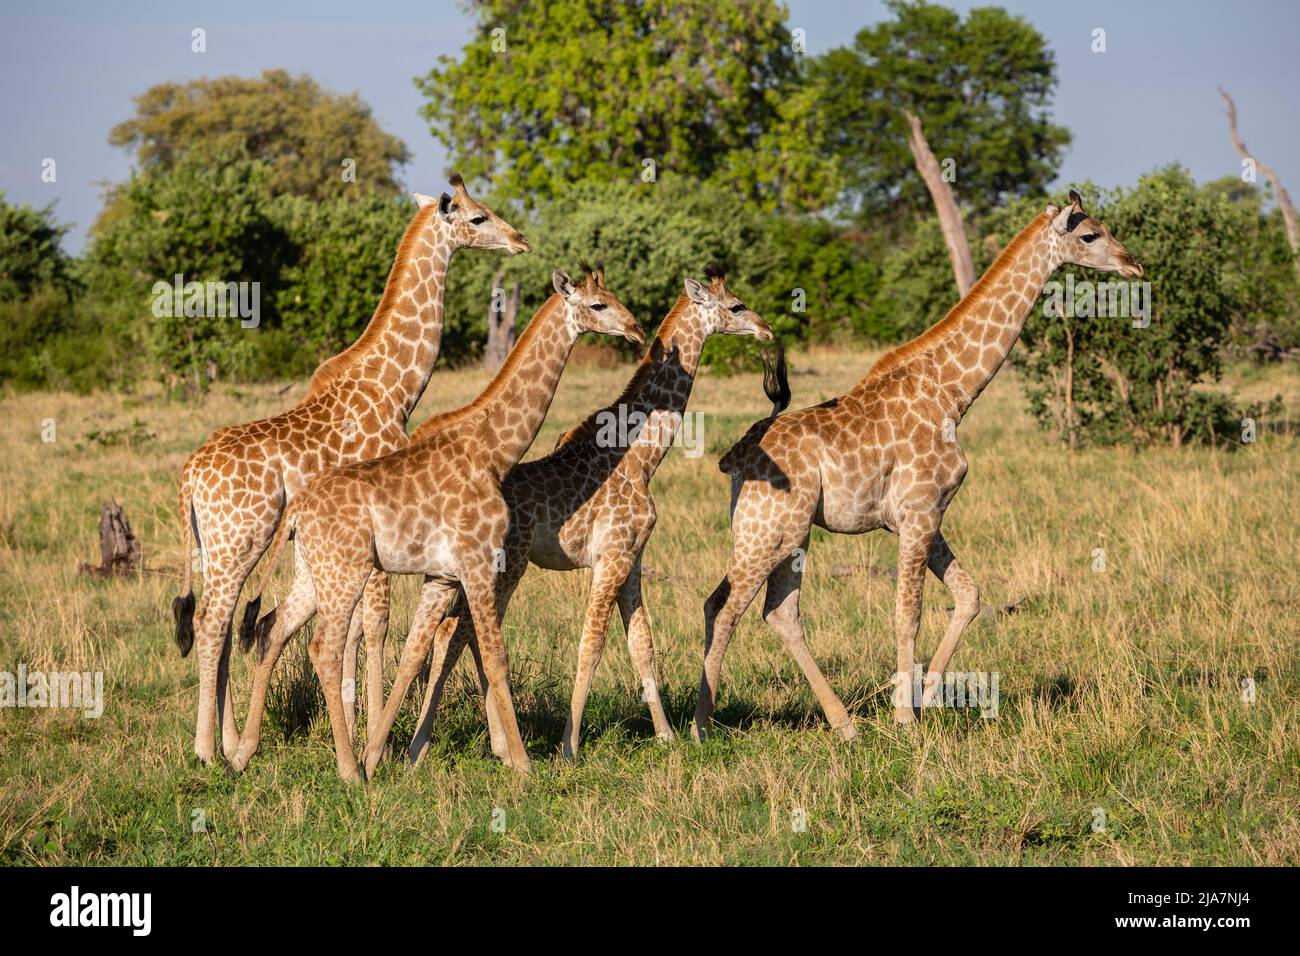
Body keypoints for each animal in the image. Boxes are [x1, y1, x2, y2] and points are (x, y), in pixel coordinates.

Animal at [174, 175, 527, 764]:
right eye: (478, 217)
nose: (520, 239)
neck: (395, 387)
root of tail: (190, 476)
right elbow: (376, 625)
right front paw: (374, 740)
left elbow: (358, 629)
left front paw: (359, 725)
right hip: (240, 537)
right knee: (210, 621)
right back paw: (207, 750)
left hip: (221, 545)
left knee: (221, 624)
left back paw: (228, 741)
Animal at [232, 265, 644, 780]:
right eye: (597, 305)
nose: (637, 330)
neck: (493, 452)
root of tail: (296, 513)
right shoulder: (478, 563)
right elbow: (494, 658)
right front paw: (523, 765)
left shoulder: (442, 576)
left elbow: (416, 652)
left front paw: (380, 756)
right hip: (347, 571)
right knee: (323, 647)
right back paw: (345, 770)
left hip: (314, 572)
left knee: (274, 629)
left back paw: (243, 754)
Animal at [405, 267, 769, 764]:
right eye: (736, 306)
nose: (767, 330)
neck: (642, 458)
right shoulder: (610, 556)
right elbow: (591, 644)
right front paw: (569, 746)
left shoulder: (631, 559)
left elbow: (642, 643)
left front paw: (666, 735)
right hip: (505, 567)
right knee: (456, 635)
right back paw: (435, 749)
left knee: (457, 635)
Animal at [691, 191, 1138, 738]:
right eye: (1090, 235)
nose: (1134, 264)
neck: (952, 393)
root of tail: (733, 459)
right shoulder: (921, 510)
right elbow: (909, 613)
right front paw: (905, 716)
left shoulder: (924, 515)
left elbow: (969, 595)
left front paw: (924, 698)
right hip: (773, 531)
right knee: (728, 606)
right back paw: (701, 727)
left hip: (783, 533)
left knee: (774, 611)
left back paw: (844, 724)